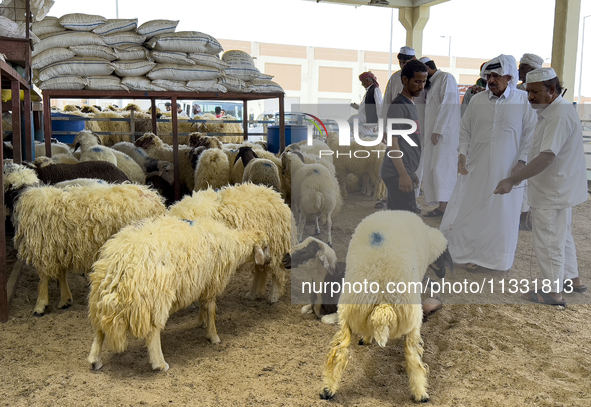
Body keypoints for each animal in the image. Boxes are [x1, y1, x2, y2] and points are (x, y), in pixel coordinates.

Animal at [12, 175, 164, 316]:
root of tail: (154, 198)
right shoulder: (58, 248)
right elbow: (61, 274)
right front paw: (65, 300)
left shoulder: (44, 248)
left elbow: (43, 279)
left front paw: (40, 306)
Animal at [88, 217, 270, 372]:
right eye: (266, 246)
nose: (269, 261)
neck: (233, 244)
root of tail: (120, 258)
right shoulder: (212, 283)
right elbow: (211, 310)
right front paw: (214, 336)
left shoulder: (201, 282)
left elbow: (203, 306)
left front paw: (201, 322)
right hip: (155, 297)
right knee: (153, 332)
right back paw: (160, 363)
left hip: (100, 295)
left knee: (99, 330)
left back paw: (94, 360)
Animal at [322, 212, 450, 404]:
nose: (442, 275)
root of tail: (382, 300)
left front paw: (366, 338)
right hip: (412, 319)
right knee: (413, 359)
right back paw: (421, 393)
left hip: (346, 316)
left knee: (339, 352)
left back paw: (328, 390)